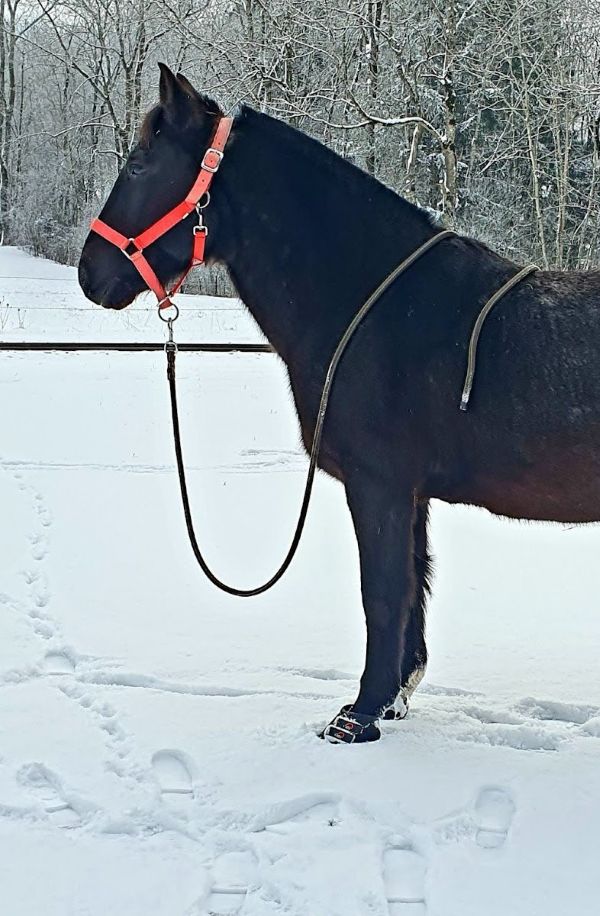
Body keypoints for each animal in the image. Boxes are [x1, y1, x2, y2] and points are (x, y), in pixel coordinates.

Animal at [78, 64, 600, 743]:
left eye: (140, 166)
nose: (90, 273)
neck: (374, 306)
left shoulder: (379, 484)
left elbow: (381, 592)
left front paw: (359, 717)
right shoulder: (411, 493)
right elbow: (412, 590)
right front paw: (394, 698)